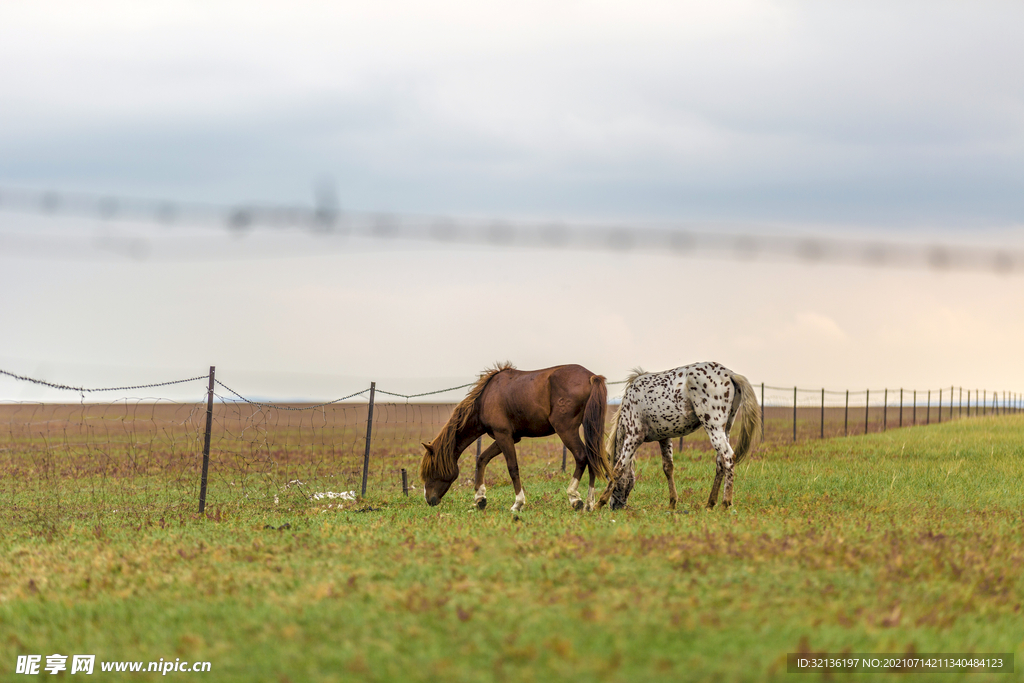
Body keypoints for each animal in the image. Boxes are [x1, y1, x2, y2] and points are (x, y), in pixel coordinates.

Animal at [419, 362, 610, 511]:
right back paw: (589, 503)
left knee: (582, 456)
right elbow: (482, 459)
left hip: (566, 429)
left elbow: (512, 468)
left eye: (432, 469)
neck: (485, 397)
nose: (429, 500)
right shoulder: (506, 437)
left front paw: (518, 503)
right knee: (592, 458)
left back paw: (574, 497)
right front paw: (480, 498)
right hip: (588, 428)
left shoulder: (503, 435)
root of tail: (592, 377)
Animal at [593, 362, 761, 511]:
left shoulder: (634, 437)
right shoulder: (664, 437)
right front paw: (672, 503)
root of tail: (730, 374)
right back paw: (710, 504)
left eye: (606, 476)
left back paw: (726, 503)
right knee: (720, 463)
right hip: (725, 429)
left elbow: (618, 469)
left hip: (713, 428)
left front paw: (598, 503)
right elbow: (668, 468)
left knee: (728, 458)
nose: (615, 506)